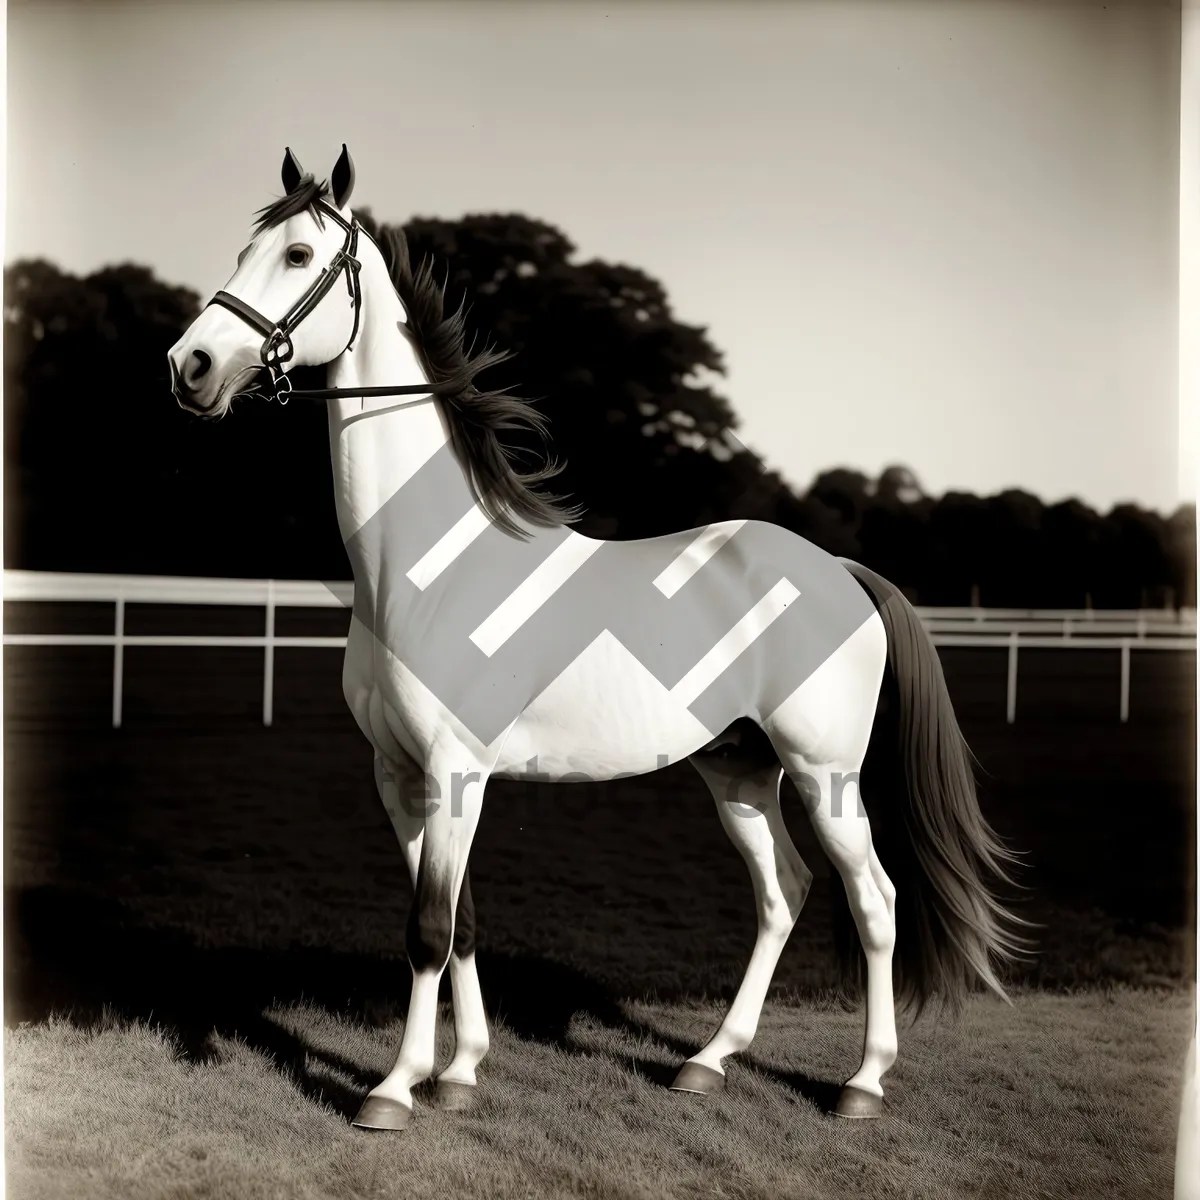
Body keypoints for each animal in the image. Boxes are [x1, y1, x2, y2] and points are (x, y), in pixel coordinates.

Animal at [169, 145, 1027, 1128]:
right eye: (248, 247)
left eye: (300, 255)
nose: (190, 364)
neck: (426, 571)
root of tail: (840, 570)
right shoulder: (399, 776)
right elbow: (461, 921)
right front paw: (460, 1072)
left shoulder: (454, 774)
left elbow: (428, 929)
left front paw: (394, 1087)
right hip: (737, 771)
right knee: (784, 894)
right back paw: (709, 1061)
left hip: (825, 773)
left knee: (872, 901)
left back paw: (862, 1082)